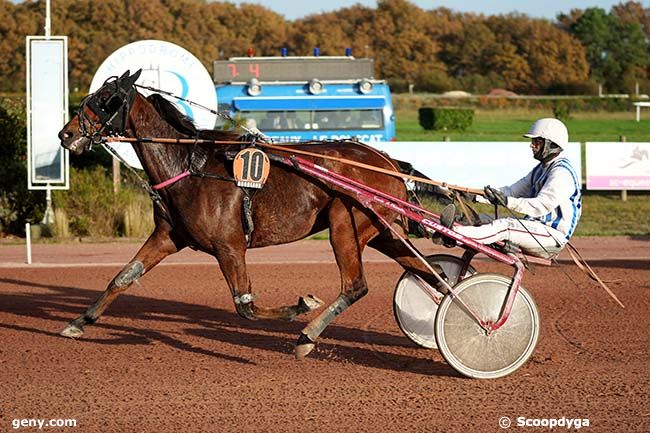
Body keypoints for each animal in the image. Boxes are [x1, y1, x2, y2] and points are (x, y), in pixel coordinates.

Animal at [57, 69, 440, 356]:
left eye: (105, 100)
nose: (66, 134)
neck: (189, 166)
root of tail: (388, 161)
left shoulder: (229, 245)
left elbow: (246, 306)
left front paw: (302, 305)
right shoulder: (167, 237)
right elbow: (123, 277)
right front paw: (78, 323)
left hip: (345, 223)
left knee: (356, 285)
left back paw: (307, 337)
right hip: (381, 231)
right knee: (428, 272)